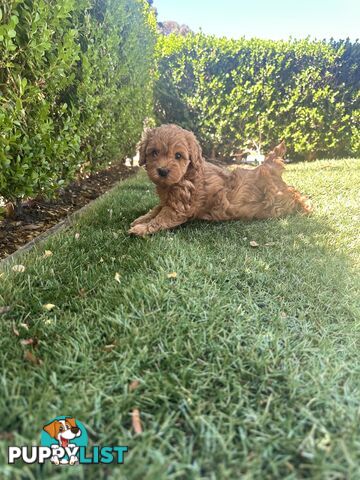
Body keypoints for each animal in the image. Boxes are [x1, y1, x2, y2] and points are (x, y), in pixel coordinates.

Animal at [129, 124, 312, 236]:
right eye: (154, 152)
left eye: (178, 156)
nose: (162, 171)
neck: (186, 174)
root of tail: (271, 168)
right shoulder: (167, 201)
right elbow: (156, 209)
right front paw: (142, 218)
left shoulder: (178, 208)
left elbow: (161, 219)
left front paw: (141, 228)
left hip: (278, 200)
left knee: (294, 194)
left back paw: (306, 206)